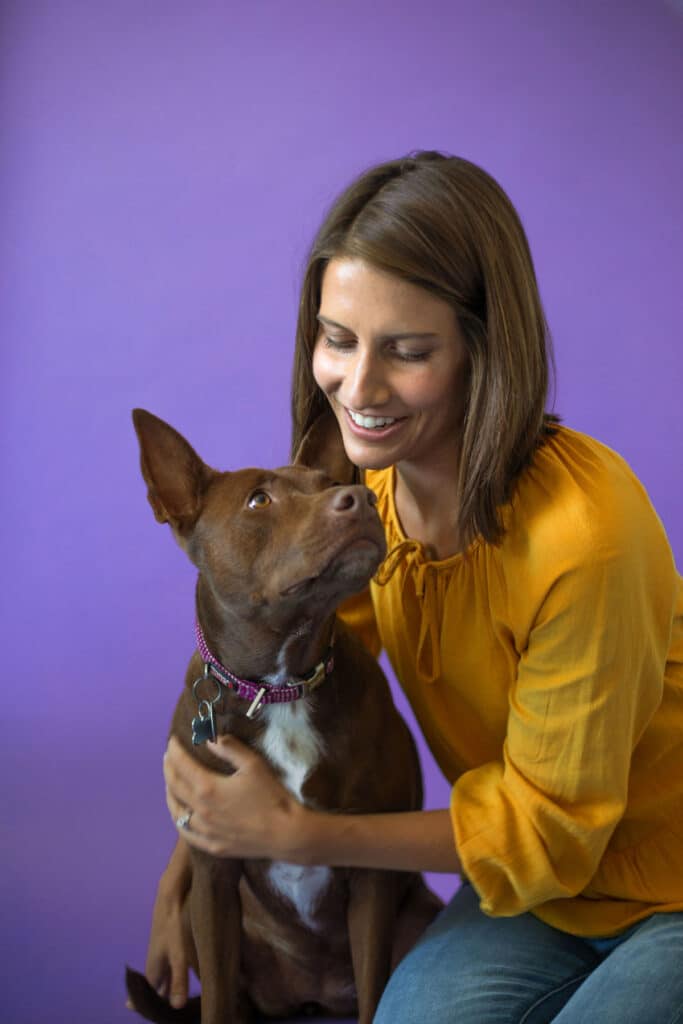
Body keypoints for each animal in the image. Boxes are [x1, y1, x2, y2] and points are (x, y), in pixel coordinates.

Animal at [124, 407, 440, 1024]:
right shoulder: (214, 878)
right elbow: (217, 1002)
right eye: (259, 501)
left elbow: (375, 991)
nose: (358, 499)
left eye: (330, 484)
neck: (280, 687)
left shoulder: (373, 877)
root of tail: (313, 995)